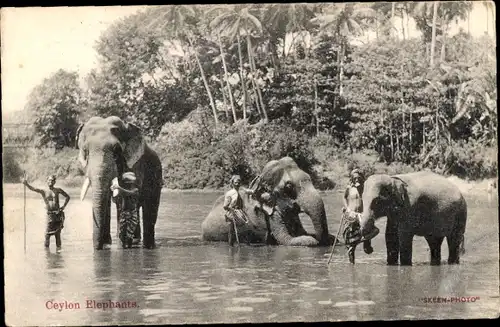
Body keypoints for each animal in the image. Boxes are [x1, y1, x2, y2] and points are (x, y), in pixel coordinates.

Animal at [76, 116, 162, 250]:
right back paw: (134, 241)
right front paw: (106, 245)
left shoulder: (135, 164)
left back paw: (147, 246)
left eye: (116, 150)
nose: (97, 248)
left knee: (150, 206)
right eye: (85, 151)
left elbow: (125, 196)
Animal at [201, 157, 334, 246]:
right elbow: (287, 240)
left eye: (309, 177)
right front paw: (311, 240)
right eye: (288, 186)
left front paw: (332, 238)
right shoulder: (266, 214)